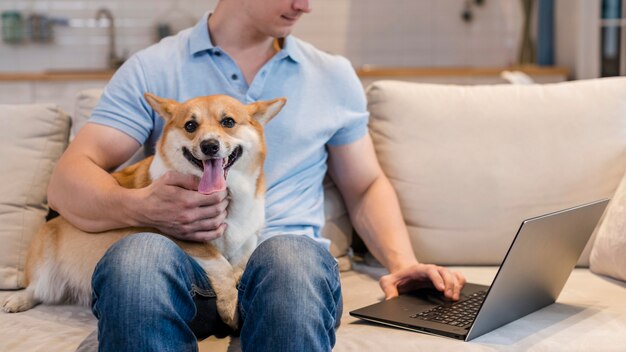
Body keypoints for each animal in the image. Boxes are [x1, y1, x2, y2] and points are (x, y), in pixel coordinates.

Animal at [0, 92, 286, 328]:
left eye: (228, 122)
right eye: (190, 126)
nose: (209, 146)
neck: (227, 196)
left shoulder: (247, 238)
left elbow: (240, 263)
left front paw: (238, 289)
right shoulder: (182, 233)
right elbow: (220, 264)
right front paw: (229, 306)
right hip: (45, 256)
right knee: (37, 288)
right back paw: (18, 300)